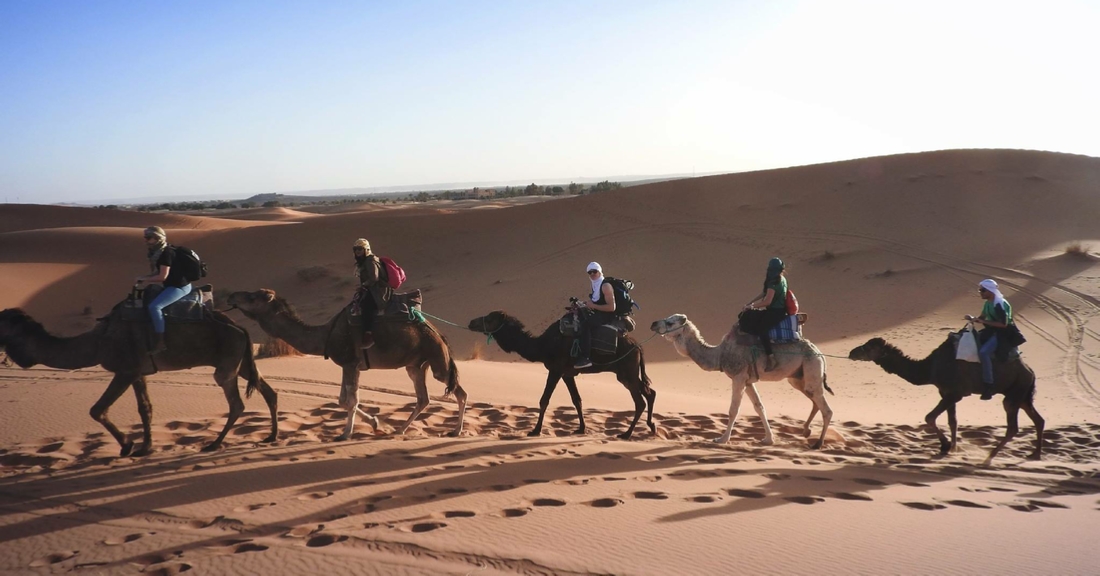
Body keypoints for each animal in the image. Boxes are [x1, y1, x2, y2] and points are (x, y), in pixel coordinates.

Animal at [0, 303, 279, 457]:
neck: (98, 342)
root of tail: (241, 327)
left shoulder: (125, 370)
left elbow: (97, 409)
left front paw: (127, 446)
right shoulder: (138, 372)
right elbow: (145, 408)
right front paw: (146, 447)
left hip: (226, 363)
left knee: (236, 402)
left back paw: (214, 444)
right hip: (241, 362)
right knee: (267, 391)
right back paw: (271, 437)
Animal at [225, 290, 466, 439]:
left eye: (253, 297)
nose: (231, 296)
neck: (325, 334)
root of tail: (440, 334)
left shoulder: (350, 363)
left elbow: (351, 400)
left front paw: (345, 434)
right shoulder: (348, 366)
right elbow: (343, 400)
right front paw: (376, 423)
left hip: (436, 360)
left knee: (459, 392)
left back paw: (455, 432)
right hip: (415, 365)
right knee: (423, 398)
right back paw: (399, 431)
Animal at [464, 312, 651, 439]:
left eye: (490, 319)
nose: (471, 322)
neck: (542, 346)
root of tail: (638, 346)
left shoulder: (555, 369)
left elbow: (544, 400)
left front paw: (535, 430)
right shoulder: (568, 374)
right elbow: (577, 400)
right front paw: (581, 429)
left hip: (626, 372)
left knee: (640, 401)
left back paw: (626, 434)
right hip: (628, 372)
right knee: (649, 392)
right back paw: (652, 427)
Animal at [651, 312, 831, 448]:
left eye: (670, 322)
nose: (653, 324)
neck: (720, 354)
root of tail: (819, 353)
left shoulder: (738, 377)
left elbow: (733, 410)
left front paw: (722, 439)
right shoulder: (748, 381)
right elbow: (759, 407)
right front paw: (768, 439)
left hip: (811, 367)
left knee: (826, 409)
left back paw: (818, 443)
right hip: (797, 378)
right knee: (814, 400)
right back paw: (806, 431)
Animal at [844, 331, 1042, 463]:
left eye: (869, 347)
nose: (852, 352)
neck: (930, 368)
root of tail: (1030, 371)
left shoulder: (955, 393)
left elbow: (929, 417)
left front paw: (945, 446)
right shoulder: (945, 392)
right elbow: (952, 421)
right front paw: (953, 449)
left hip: (1014, 393)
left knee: (1013, 427)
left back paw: (989, 457)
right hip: (1023, 395)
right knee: (1038, 420)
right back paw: (1035, 454)